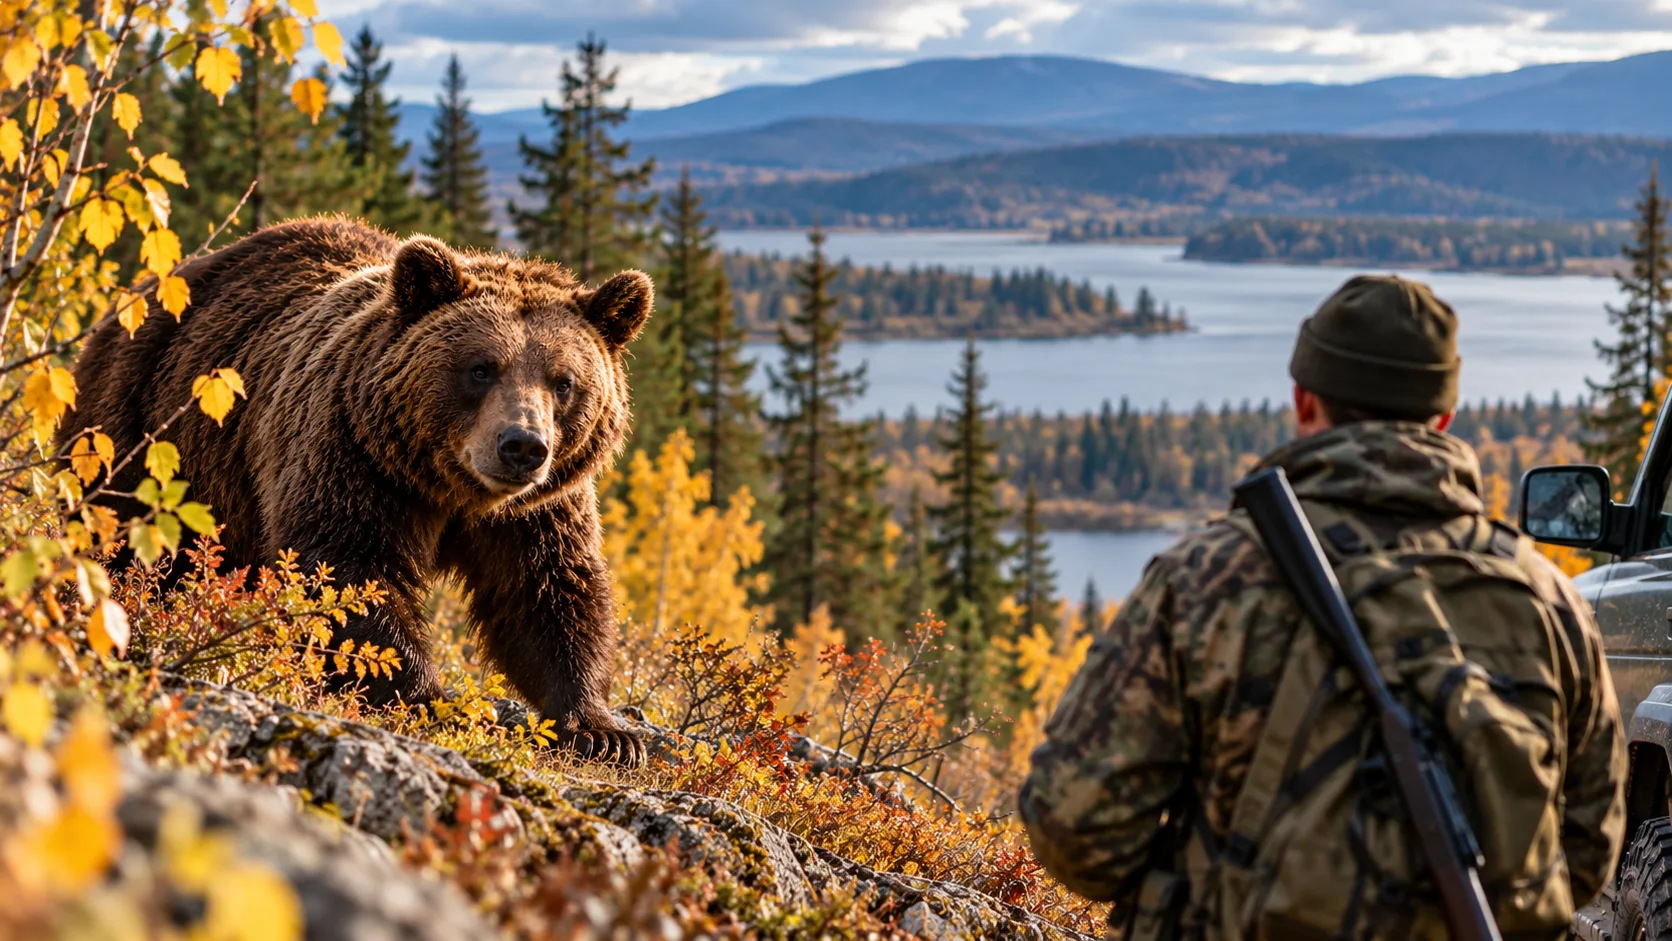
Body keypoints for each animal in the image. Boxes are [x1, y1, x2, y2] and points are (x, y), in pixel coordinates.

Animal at [58, 217, 650, 765]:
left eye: (563, 381)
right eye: (481, 368)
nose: (522, 446)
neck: (450, 489)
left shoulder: (536, 510)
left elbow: (548, 592)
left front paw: (603, 731)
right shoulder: (355, 459)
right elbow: (350, 574)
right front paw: (428, 699)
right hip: (144, 430)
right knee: (117, 530)